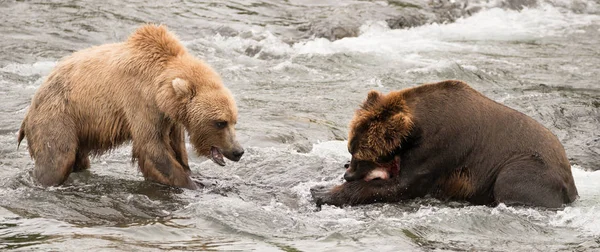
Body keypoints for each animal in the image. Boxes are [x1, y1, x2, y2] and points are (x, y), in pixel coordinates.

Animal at [18, 24, 244, 189]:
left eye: (234, 121)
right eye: (220, 122)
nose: (238, 151)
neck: (161, 89)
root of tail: (31, 106)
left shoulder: (169, 117)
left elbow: (177, 147)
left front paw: (199, 176)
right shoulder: (141, 102)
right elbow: (153, 148)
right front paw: (193, 185)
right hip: (59, 116)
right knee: (57, 159)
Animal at [312, 79, 580, 208]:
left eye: (363, 155)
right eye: (351, 148)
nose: (348, 173)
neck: (418, 129)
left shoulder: (441, 148)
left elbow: (404, 186)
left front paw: (323, 192)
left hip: (528, 168)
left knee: (511, 182)